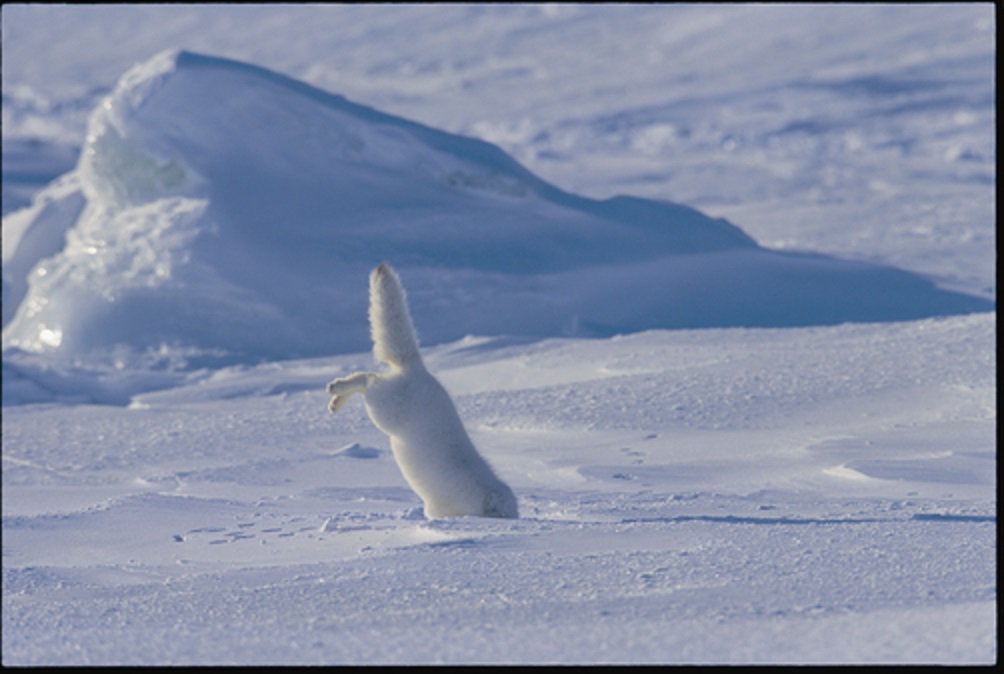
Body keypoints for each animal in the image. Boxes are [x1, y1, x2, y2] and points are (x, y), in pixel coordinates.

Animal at [327, 261, 518, 518]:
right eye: (506, 513)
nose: (515, 520)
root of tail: (416, 368)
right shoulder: (442, 508)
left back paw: (336, 402)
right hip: (383, 409)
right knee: (366, 379)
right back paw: (336, 388)